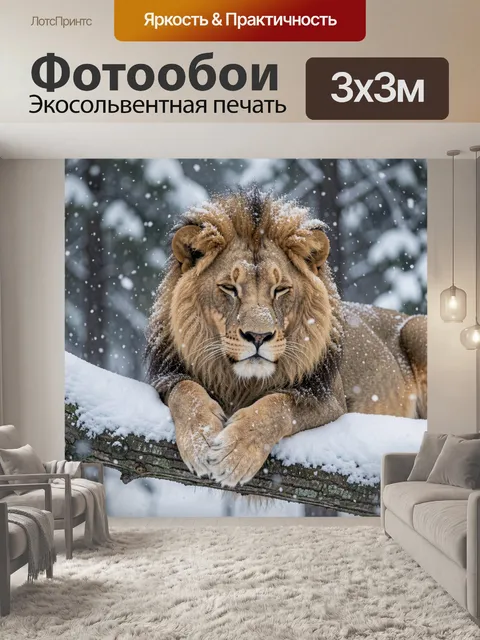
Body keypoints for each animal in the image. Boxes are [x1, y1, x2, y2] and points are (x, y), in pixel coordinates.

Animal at [146, 190, 427, 488]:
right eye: (229, 288)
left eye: (280, 289)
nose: (258, 335)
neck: (241, 383)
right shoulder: (166, 377)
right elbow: (186, 390)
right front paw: (200, 440)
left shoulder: (327, 398)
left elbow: (278, 405)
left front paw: (235, 454)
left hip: (417, 328)